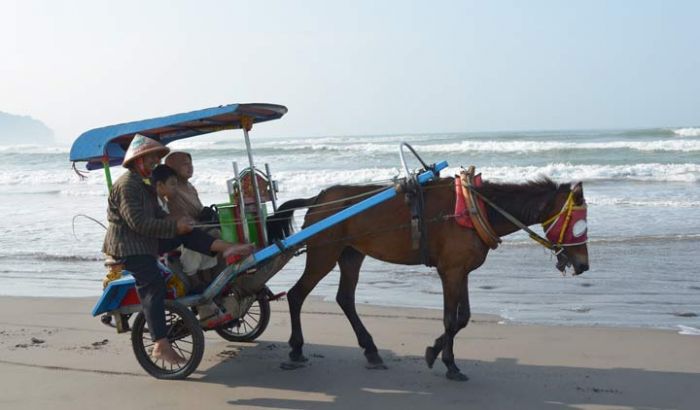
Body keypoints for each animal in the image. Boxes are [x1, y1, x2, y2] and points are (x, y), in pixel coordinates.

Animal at [266, 174, 588, 382]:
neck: (474, 208)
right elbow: (449, 319)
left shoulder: (461, 271)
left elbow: (463, 318)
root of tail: (319, 198)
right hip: (324, 253)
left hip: (350, 255)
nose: (583, 265)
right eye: (578, 224)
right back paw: (296, 348)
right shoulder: (451, 272)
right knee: (296, 295)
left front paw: (436, 351)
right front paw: (447, 362)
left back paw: (371, 350)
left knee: (344, 298)